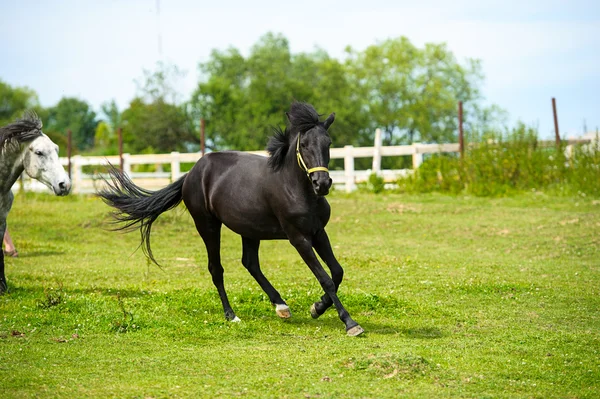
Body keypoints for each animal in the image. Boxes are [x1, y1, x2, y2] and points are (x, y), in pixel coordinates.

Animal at [97, 101, 366, 336]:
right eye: (305, 144)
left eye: (328, 142)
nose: (322, 184)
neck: (296, 188)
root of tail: (192, 172)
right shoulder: (298, 238)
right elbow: (325, 278)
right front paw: (350, 323)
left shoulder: (318, 232)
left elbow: (337, 272)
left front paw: (317, 308)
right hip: (208, 226)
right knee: (217, 269)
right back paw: (232, 315)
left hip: (250, 230)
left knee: (250, 263)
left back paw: (281, 307)